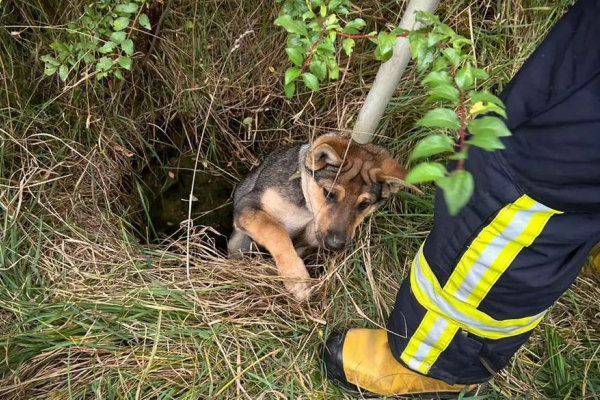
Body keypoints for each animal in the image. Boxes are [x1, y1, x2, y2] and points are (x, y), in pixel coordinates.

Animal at [227, 134, 420, 300]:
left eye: (364, 204)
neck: (307, 208)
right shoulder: (247, 205)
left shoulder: (312, 235)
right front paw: (296, 278)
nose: (335, 245)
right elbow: (275, 230)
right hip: (237, 242)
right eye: (329, 193)